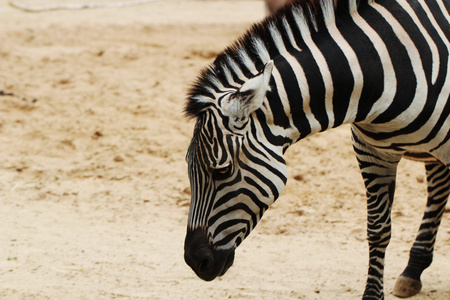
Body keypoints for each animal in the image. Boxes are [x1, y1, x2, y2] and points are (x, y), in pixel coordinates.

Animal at [184, 0, 450, 298]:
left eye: (223, 170)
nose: (194, 261)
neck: (380, 71)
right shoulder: (371, 153)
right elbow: (378, 229)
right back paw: (413, 270)